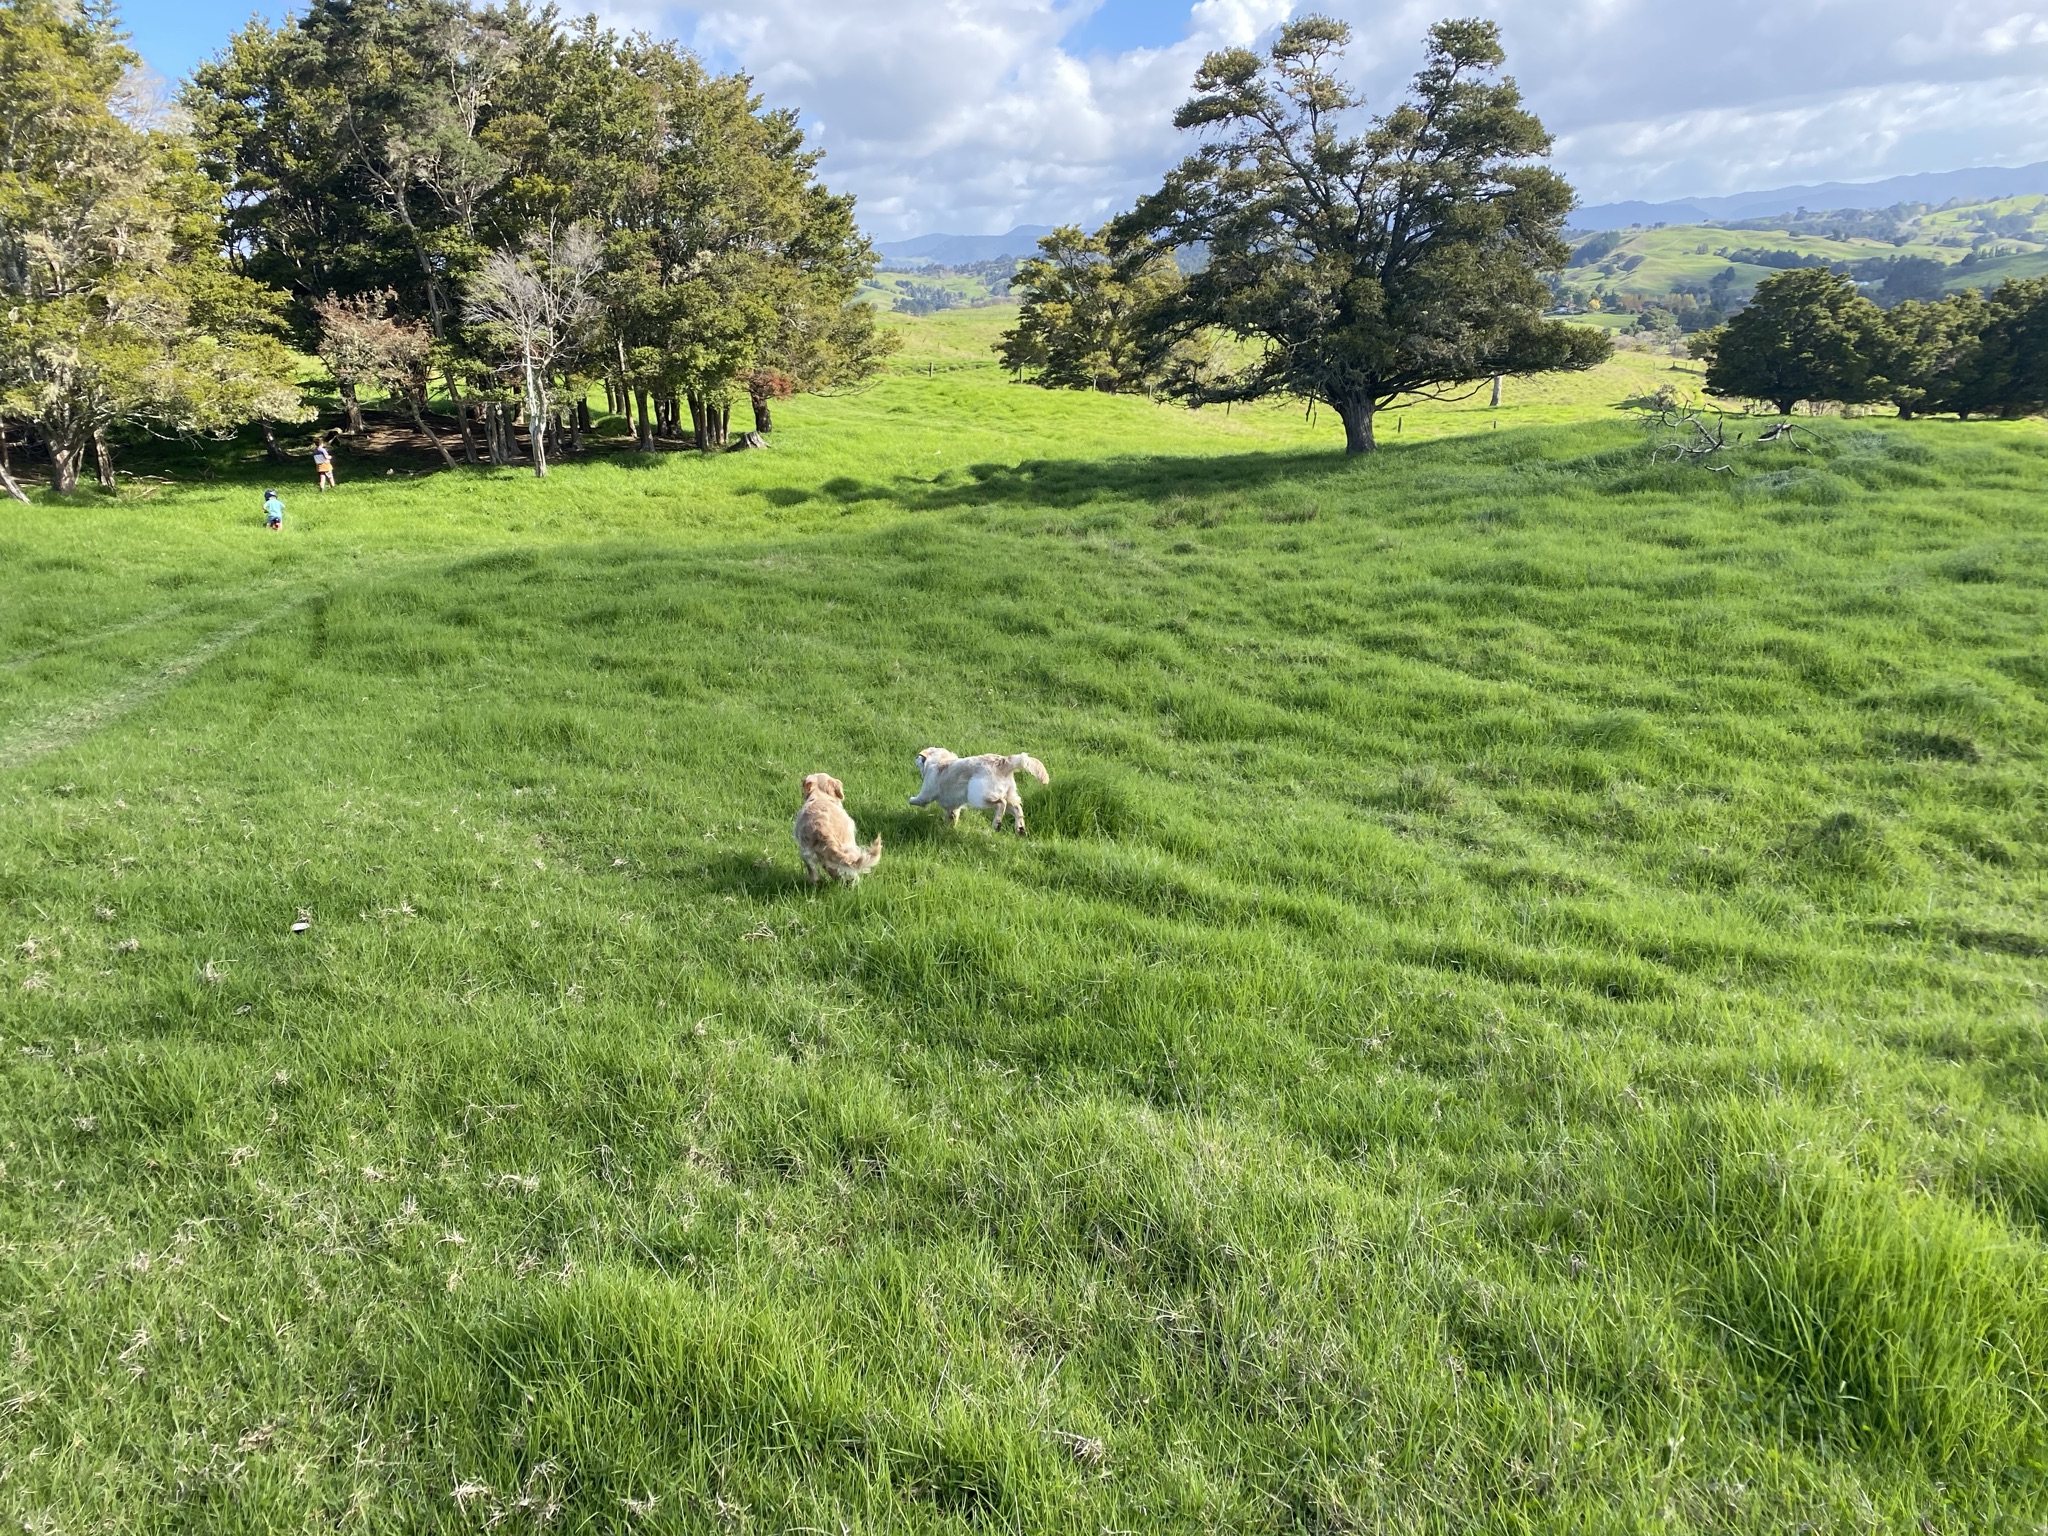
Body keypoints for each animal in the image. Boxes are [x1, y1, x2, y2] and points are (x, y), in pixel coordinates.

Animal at [905, 753, 1048, 835]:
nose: (916, 757)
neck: (939, 761)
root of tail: (1004, 762)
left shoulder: (926, 793)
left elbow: (918, 800)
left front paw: (910, 799)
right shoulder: (953, 807)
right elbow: (952, 815)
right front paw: (949, 828)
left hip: (978, 797)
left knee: (1001, 803)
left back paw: (997, 824)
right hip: (1009, 795)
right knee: (1017, 808)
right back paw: (1020, 828)